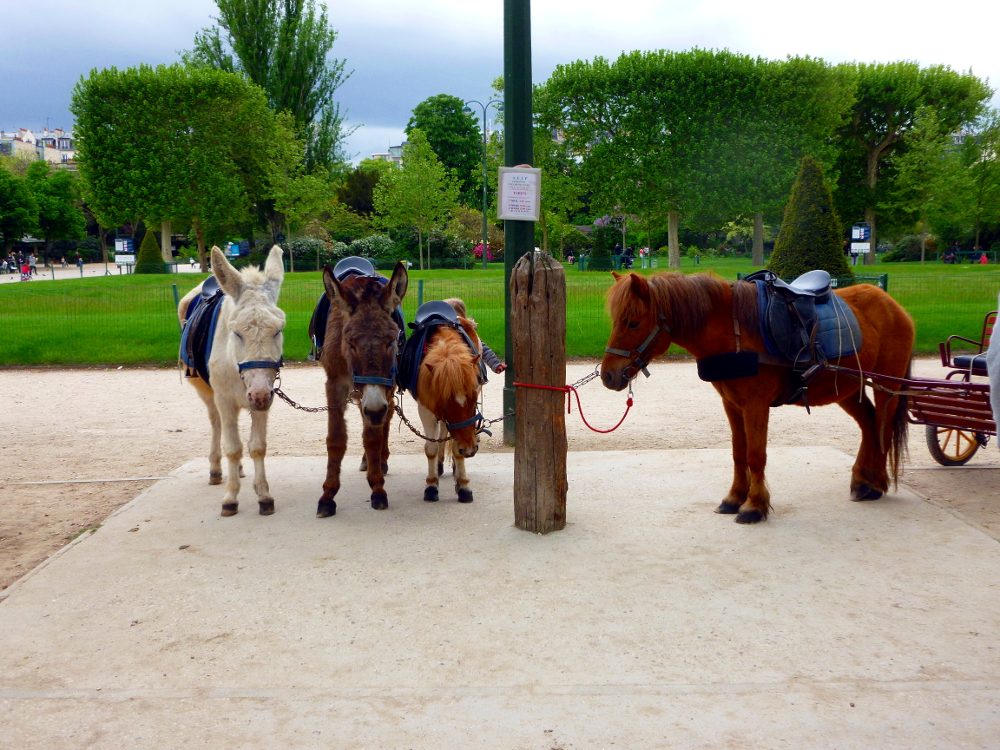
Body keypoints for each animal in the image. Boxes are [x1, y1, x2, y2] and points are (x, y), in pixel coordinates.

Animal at [178, 245, 286, 517]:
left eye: (278, 330)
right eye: (236, 332)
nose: (258, 395)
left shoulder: (263, 401)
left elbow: (257, 446)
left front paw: (264, 496)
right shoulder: (226, 400)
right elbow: (233, 447)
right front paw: (230, 498)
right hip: (208, 394)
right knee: (217, 425)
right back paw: (217, 470)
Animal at [316, 261, 408, 516]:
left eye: (391, 341)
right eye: (350, 343)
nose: (374, 410)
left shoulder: (384, 385)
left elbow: (373, 437)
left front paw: (377, 489)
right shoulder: (335, 383)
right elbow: (336, 438)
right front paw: (328, 496)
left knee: (387, 416)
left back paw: (380, 461)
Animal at [410, 317, 485, 504]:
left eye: (474, 401)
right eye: (446, 404)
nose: (471, 449)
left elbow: (457, 450)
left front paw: (463, 485)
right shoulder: (426, 410)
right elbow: (431, 448)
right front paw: (431, 486)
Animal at [601, 271, 914, 523]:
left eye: (633, 323)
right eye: (616, 320)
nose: (607, 376)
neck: (733, 330)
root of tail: (888, 300)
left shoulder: (756, 404)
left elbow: (755, 455)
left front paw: (754, 505)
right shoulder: (731, 404)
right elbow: (739, 453)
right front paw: (734, 498)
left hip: (887, 385)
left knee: (883, 428)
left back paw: (877, 484)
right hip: (846, 387)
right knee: (870, 425)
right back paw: (862, 481)